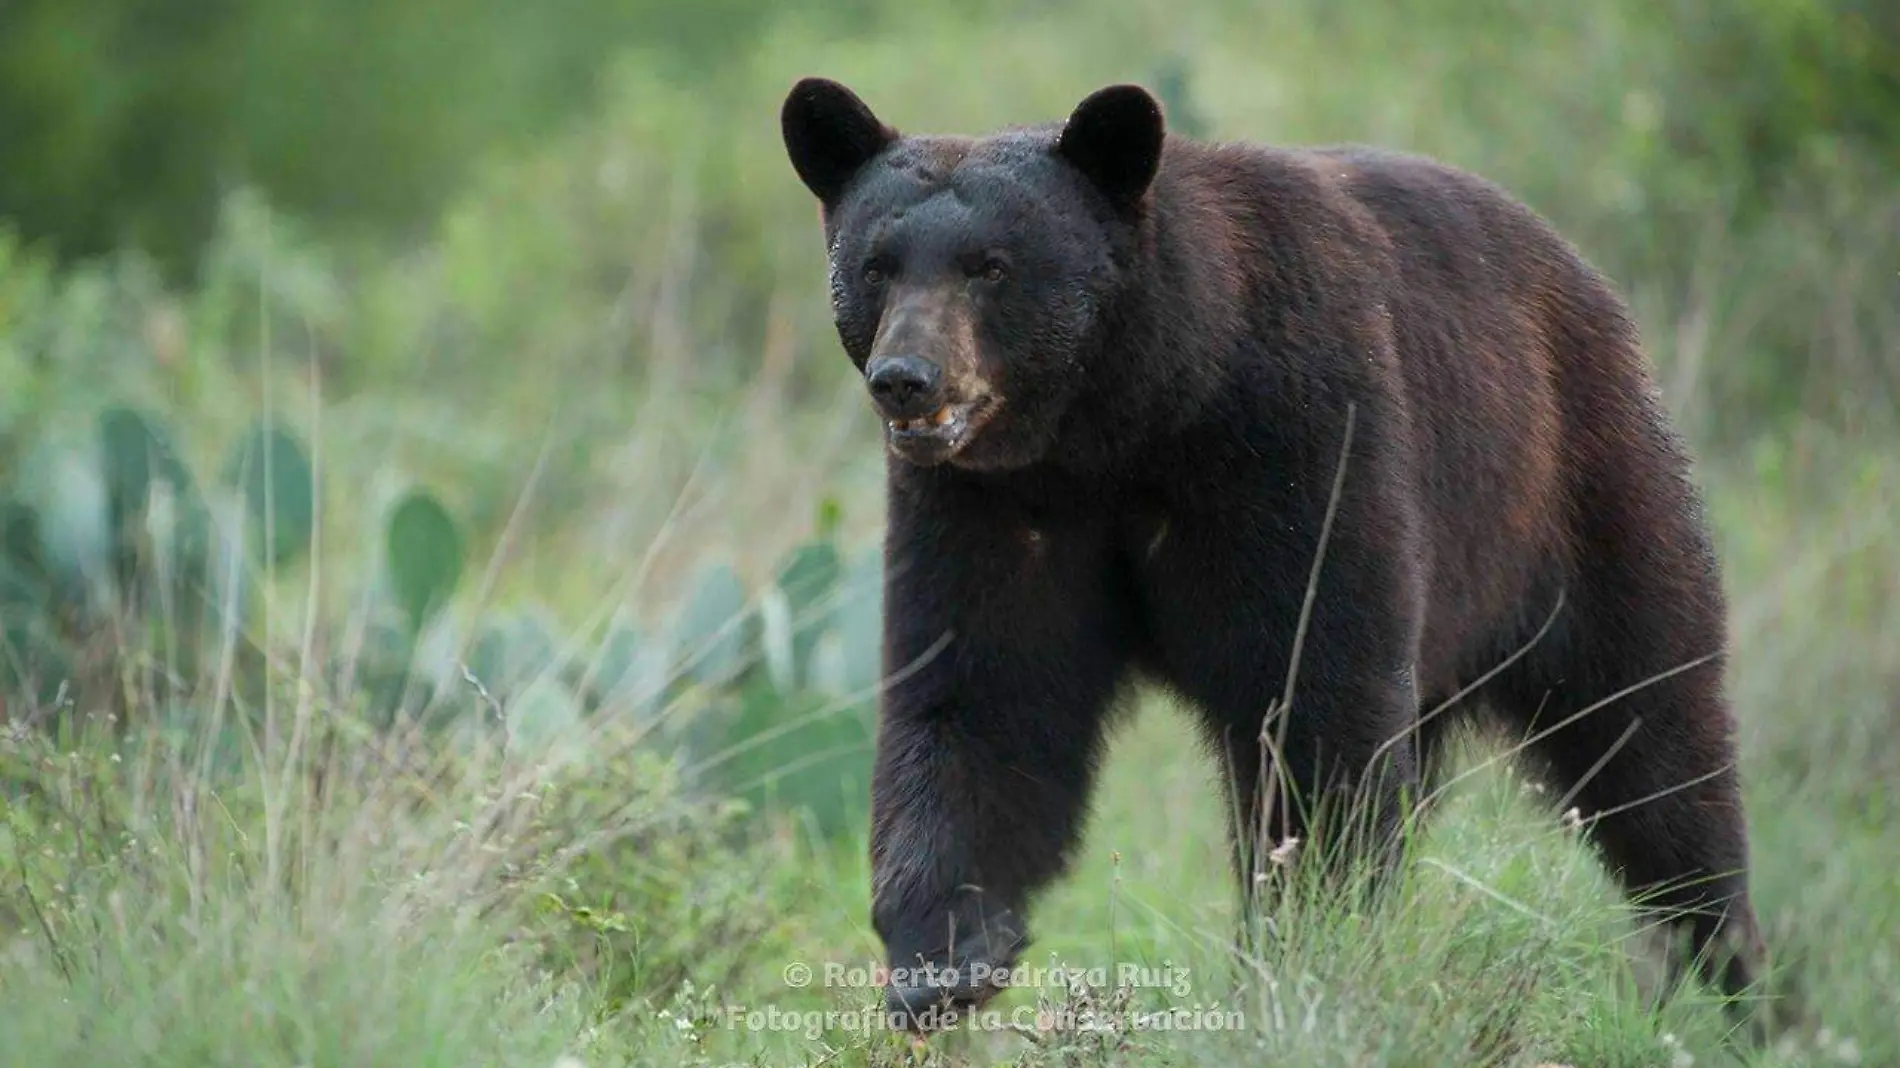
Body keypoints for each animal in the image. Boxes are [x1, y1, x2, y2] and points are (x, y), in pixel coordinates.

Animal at [779, 75, 1770, 1033]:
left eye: (992, 267)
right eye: (876, 266)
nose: (907, 379)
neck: (1133, 415)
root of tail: (1583, 276)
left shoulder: (1300, 447)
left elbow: (1316, 708)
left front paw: (1304, 943)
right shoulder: (996, 507)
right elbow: (984, 696)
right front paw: (942, 956)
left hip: (1578, 498)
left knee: (1656, 743)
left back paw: (1735, 978)